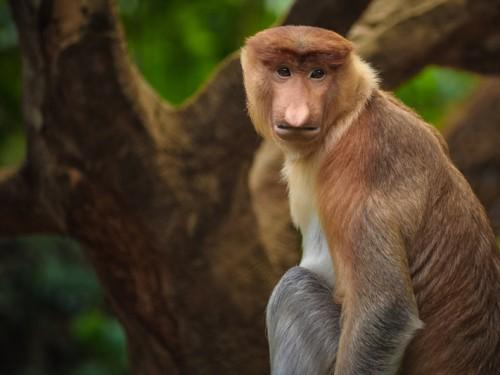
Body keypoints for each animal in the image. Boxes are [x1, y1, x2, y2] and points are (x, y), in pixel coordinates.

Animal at [240, 26, 498, 375]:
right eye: (284, 71)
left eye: (318, 73)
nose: (298, 114)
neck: (349, 114)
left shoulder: (358, 166)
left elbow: (387, 311)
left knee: (295, 290)